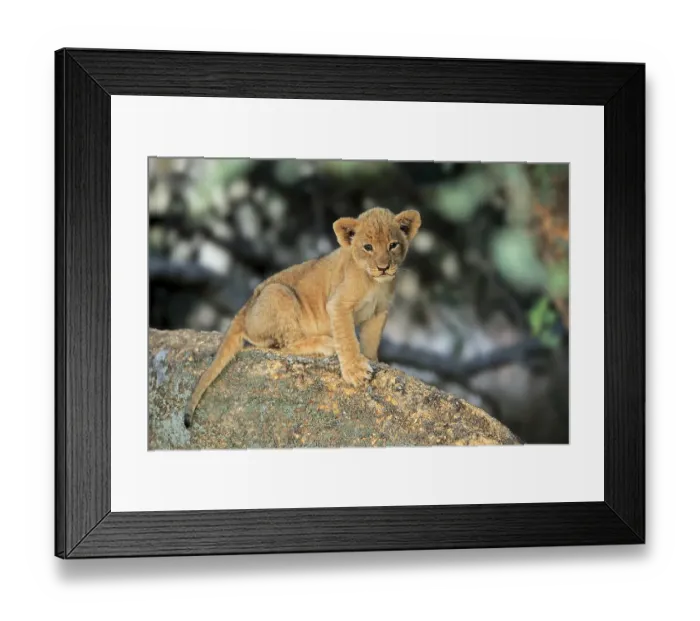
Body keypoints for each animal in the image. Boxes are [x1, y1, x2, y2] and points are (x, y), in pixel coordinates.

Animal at [185, 206, 421, 427]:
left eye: (393, 245)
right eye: (368, 247)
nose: (383, 268)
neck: (375, 284)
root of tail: (244, 308)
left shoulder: (379, 311)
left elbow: (371, 341)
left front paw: (372, 359)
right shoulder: (338, 304)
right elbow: (347, 339)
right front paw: (355, 371)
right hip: (279, 293)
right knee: (285, 347)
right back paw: (326, 343)